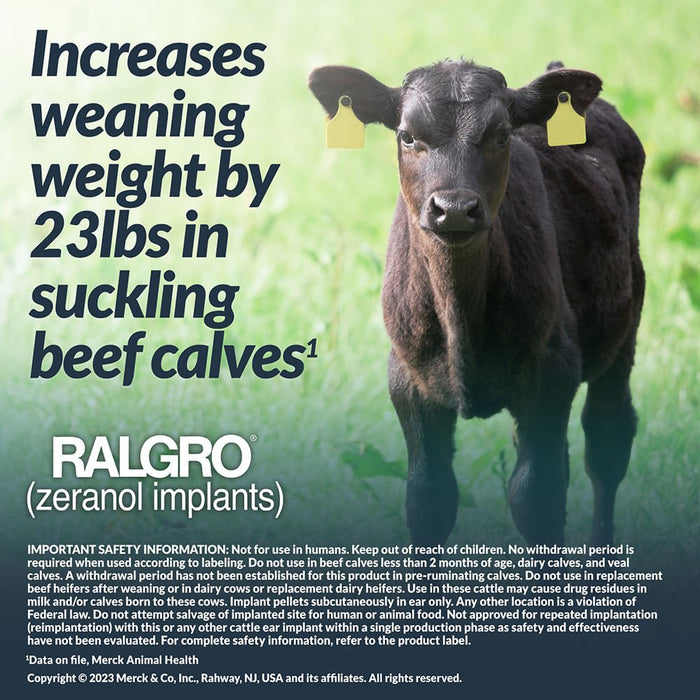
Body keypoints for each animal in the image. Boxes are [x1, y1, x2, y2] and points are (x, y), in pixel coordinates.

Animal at [309, 60, 645, 546]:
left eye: (501, 135)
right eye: (406, 135)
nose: (453, 208)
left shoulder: (551, 370)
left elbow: (536, 497)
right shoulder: (408, 381)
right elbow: (429, 499)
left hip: (626, 321)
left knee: (607, 440)